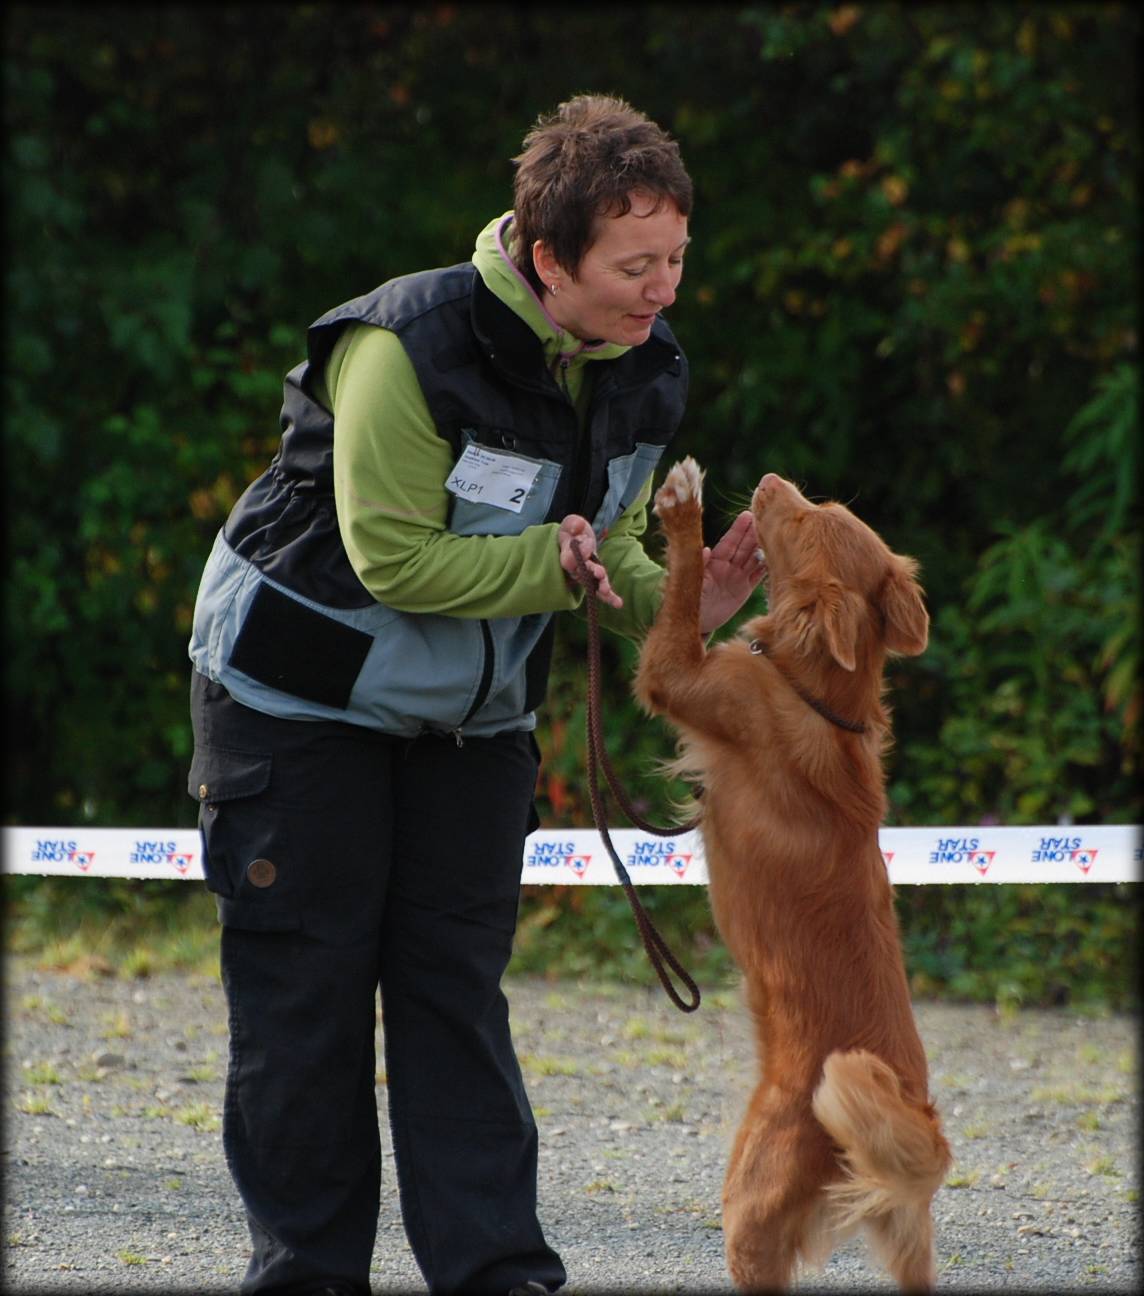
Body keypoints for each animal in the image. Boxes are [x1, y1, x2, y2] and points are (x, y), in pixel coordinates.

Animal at [640, 461, 953, 1290]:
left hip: (748, 1203)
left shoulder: (681, 676)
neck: (812, 692)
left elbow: (679, 603)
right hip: (905, 1239)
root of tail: (920, 1121)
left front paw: (683, 511)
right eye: (827, 504)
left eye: (807, 521)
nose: (775, 477)